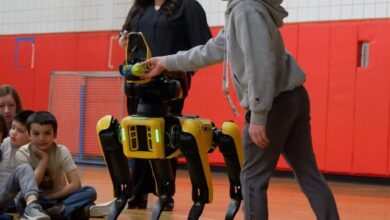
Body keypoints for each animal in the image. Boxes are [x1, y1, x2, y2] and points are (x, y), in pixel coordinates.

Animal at [96, 32, 242, 220]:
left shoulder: (186, 133)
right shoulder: (115, 131)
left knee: (228, 137)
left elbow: (200, 192)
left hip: (218, 133)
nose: (132, 68)